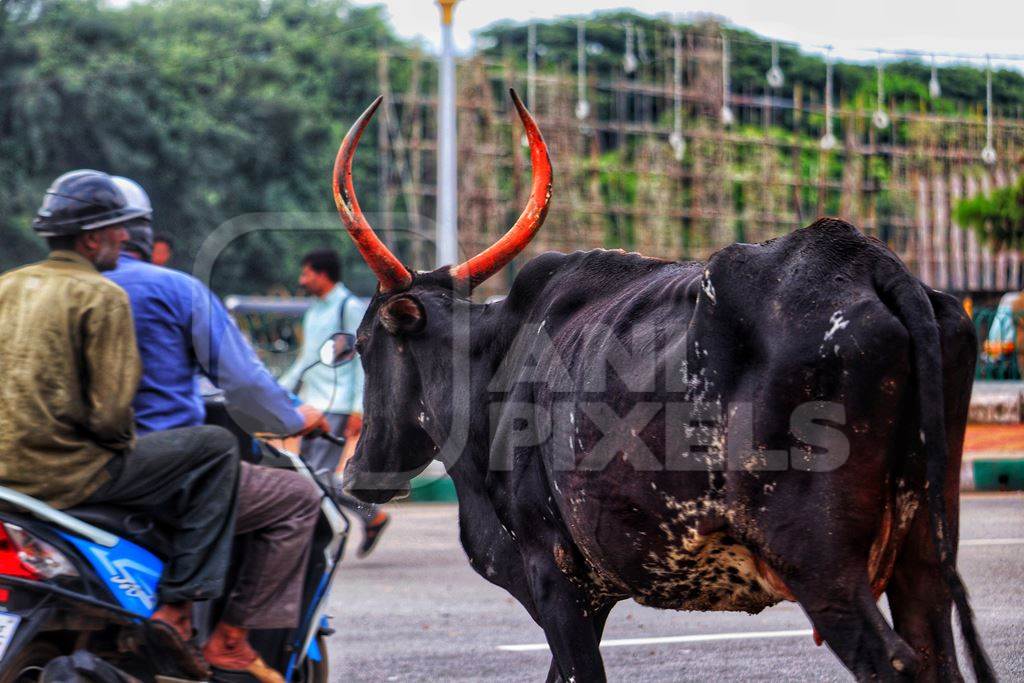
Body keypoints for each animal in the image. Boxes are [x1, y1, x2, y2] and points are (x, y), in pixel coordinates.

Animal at [344, 220, 991, 683]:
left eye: (361, 343)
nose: (355, 474)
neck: (494, 359)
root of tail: (873, 267)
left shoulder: (551, 568)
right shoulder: (589, 594)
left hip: (820, 568)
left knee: (893, 662)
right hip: (924, 556)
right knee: (936, 656)